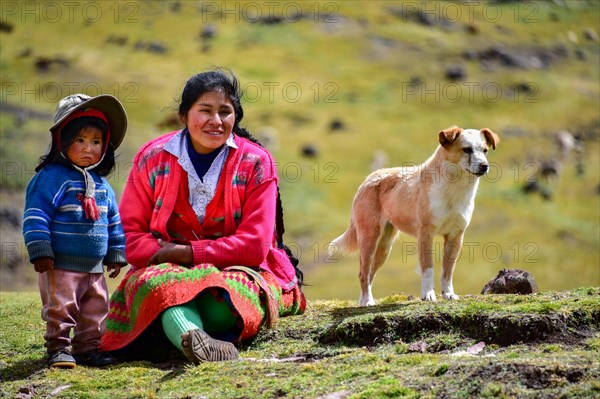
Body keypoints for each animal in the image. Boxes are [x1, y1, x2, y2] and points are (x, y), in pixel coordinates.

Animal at [330, 126, 500, 304]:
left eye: (485, 150)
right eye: (467, 149)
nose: (484, 166)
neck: (453, 189)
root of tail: (368, 179)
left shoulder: (455, 236)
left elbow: (448, 270)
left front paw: (448, 294)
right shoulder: (425, 233)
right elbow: (428, 268)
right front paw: (428, 295)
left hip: (384, 248)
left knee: (370, 274)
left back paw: (365, 301)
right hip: (369, 239)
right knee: (363, 273)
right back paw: (367, 302)